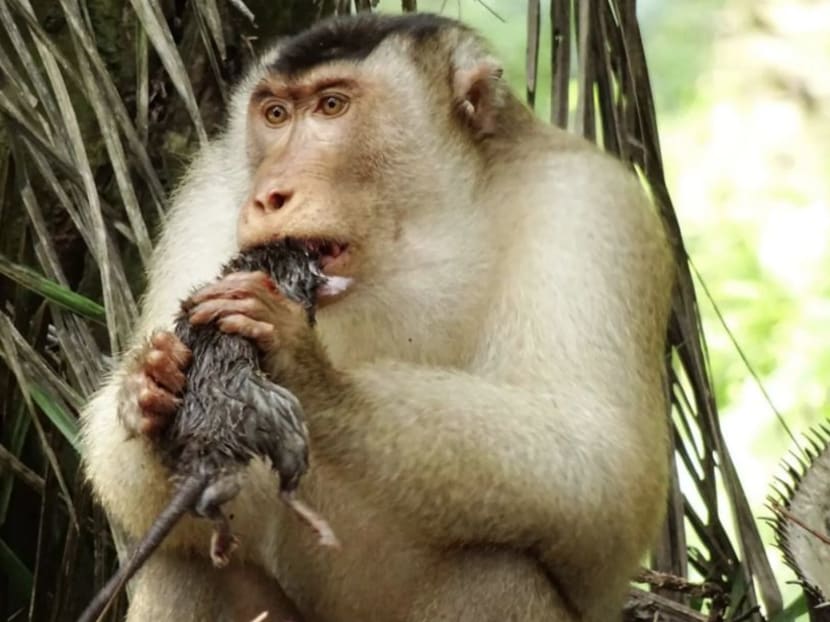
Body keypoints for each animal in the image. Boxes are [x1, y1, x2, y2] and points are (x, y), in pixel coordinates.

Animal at [77, 240, 343, 622]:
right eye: (303, 252)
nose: (312, 248)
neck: (255, 263)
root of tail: (203, 455)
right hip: (285, 425)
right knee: (274, 492)